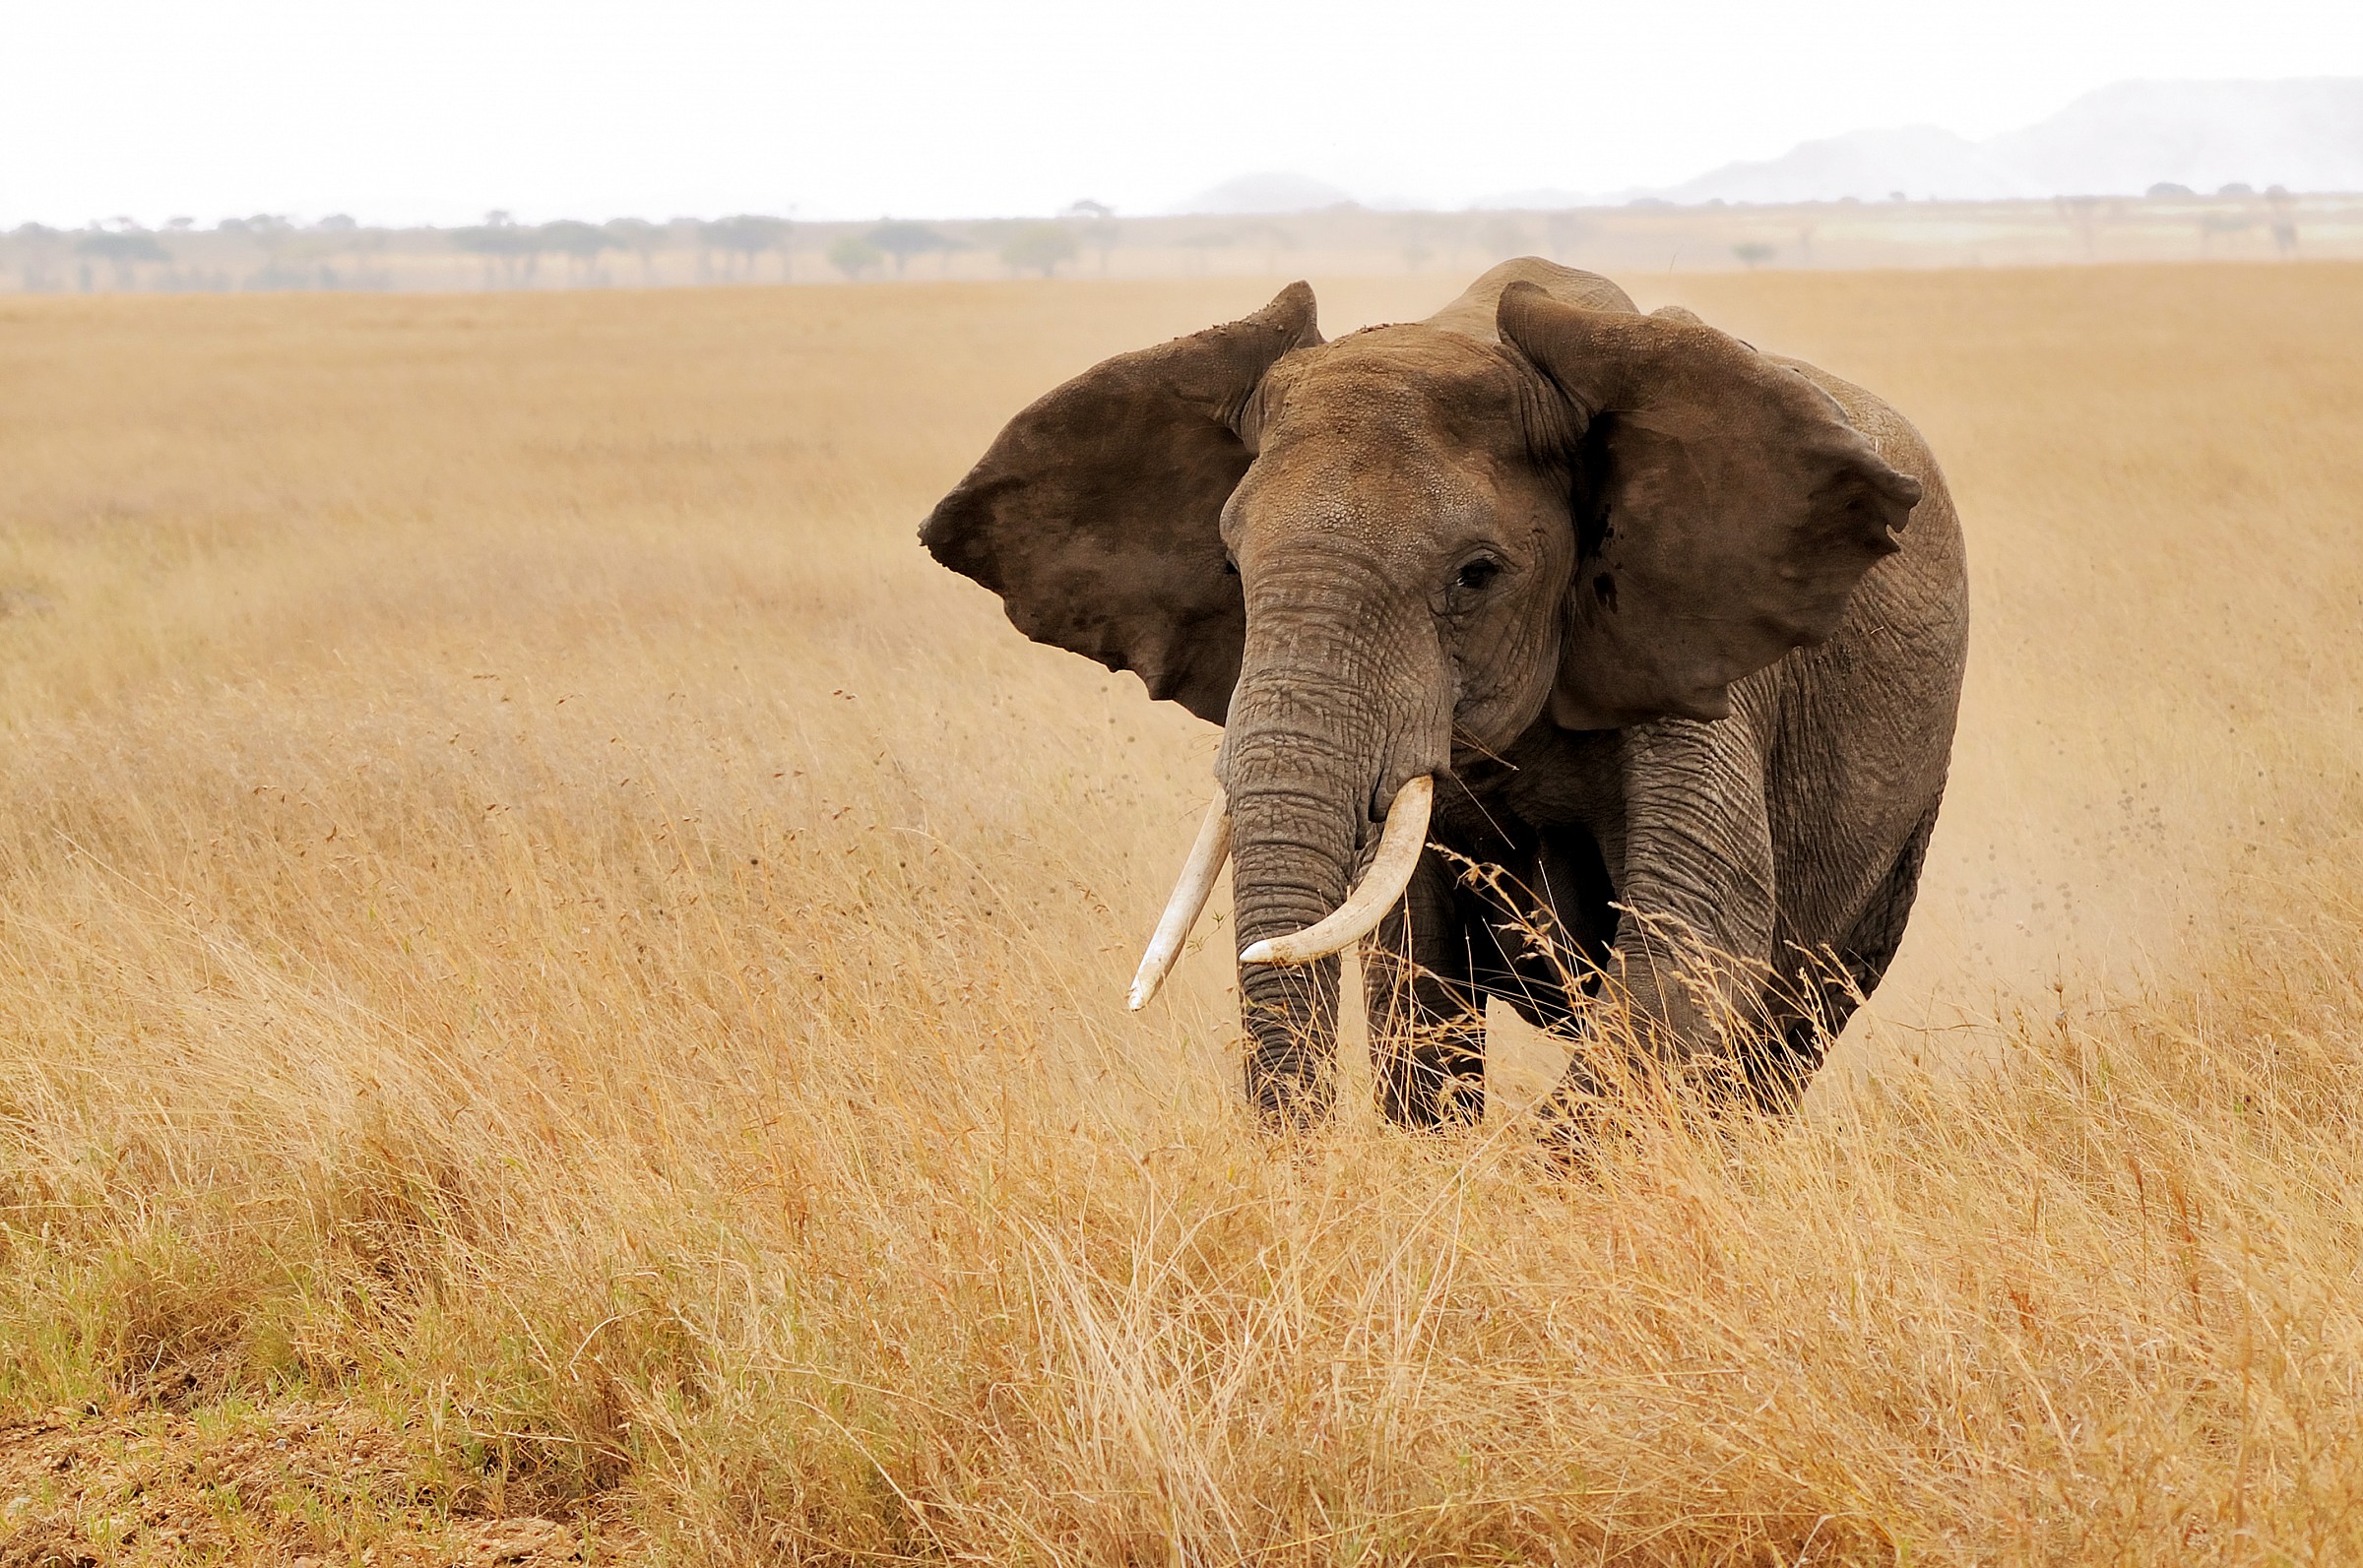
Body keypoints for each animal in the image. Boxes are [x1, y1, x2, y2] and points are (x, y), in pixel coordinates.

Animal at [922, 259, 1968, 1133]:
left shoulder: (1700, 659)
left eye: (1476, 574)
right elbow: (1411, 973)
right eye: (1229, 566)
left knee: (1785, 1039)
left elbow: (1693, 937)